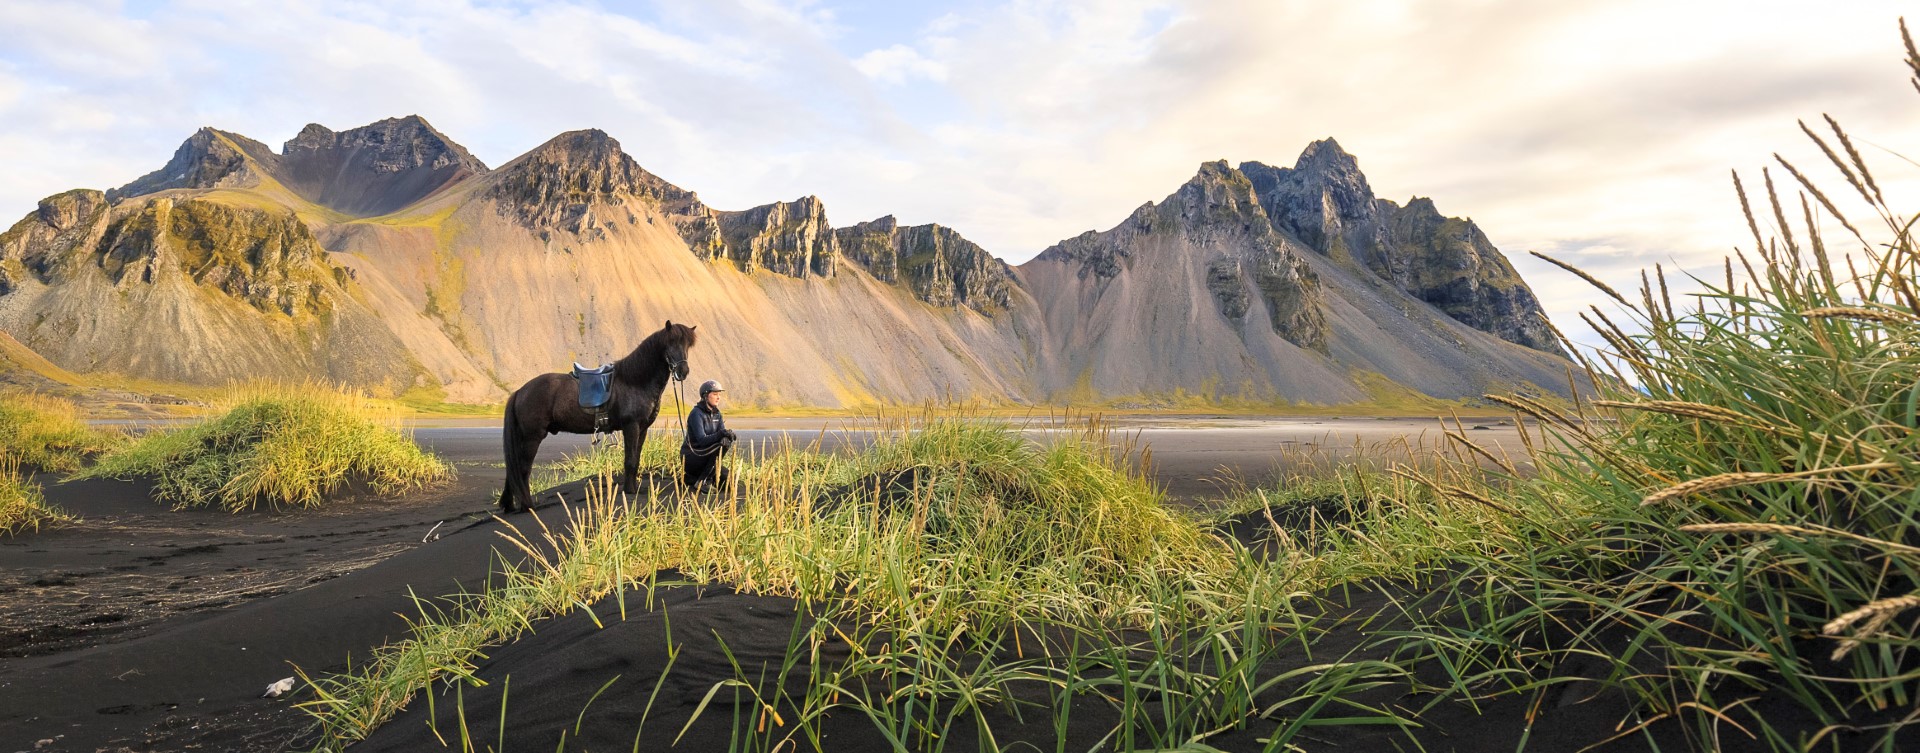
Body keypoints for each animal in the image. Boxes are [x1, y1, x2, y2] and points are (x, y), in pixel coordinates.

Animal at [503, 320, 698, 514]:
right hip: (532, 437)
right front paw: (629, 490)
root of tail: (520, 391)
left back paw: (509, 505)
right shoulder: (631, 427)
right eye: (671, 342)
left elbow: (636, 459)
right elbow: (630, 460)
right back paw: (528, 505)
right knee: (523, 469)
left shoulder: (642, 429)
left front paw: (633, 488)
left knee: (513, 468)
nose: (683, 371)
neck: (634, 381)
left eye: (687, 345)